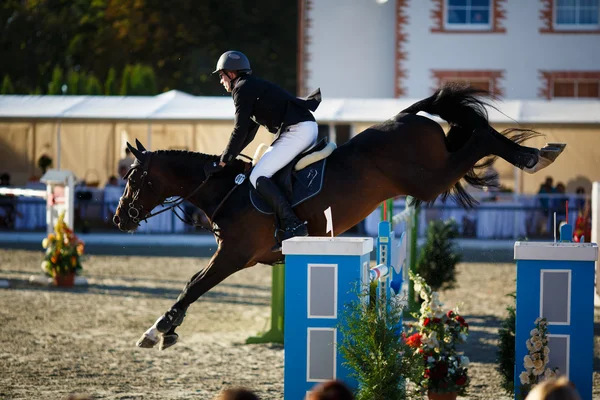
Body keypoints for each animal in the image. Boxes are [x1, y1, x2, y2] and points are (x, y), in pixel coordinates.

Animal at [113, 85, 568, 350]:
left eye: (133, 177)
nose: (119, 220)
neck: (228, 189)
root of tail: (407, 115)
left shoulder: (235, 255)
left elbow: (193, 286)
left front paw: (157, 330)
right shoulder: (233, 256)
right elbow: (192, 283)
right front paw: (165, 329)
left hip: (427, 180)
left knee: (479, 138)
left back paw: (534, 157)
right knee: (475, 135)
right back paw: (539, 153)